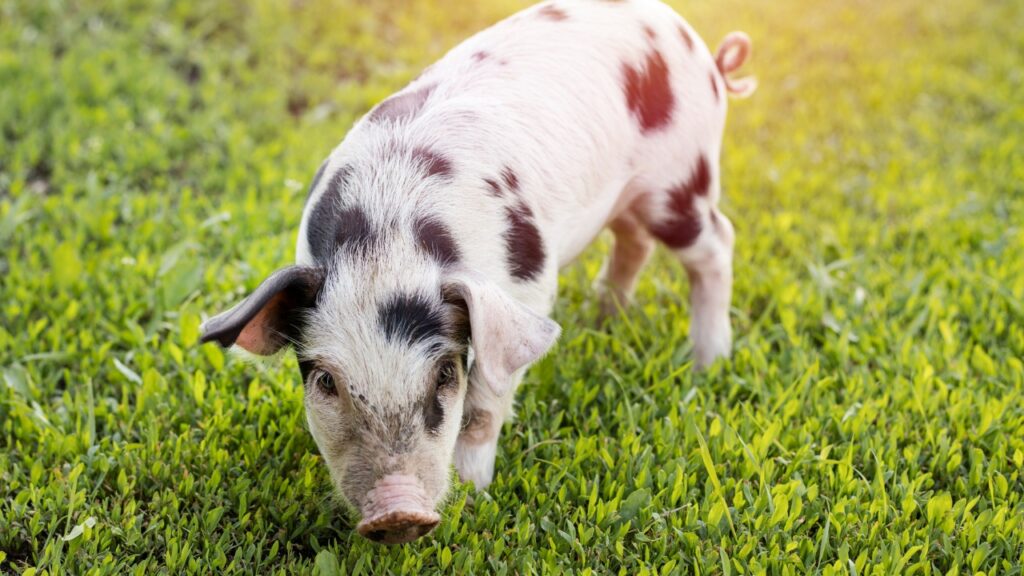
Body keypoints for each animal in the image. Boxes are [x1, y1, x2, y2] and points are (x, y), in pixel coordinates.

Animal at [200, 0, 755, 544]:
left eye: (445, 374)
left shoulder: (526, 292)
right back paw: (605, 321)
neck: (386, 243)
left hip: (681, 179)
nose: (397, 511)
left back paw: (708, 362)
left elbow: (487, 402)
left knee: (718, 240)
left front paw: (472, 495)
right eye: (324, 381)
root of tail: (693, 42)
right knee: (634, 241)